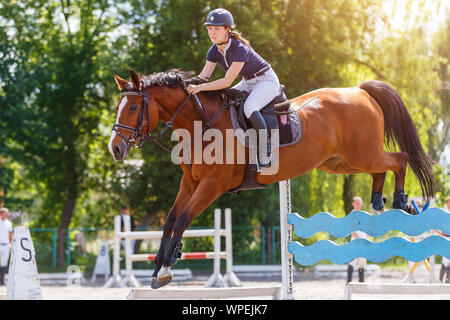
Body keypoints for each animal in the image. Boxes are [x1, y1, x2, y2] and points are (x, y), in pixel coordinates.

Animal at [108, 69, 436, 288]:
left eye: (134, 107)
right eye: (118, 107)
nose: (115, 148)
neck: (200, 124)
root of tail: (360, 91)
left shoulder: (213, 185)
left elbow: (184, 219)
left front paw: (167, 267)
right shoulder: (190, 183)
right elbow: (170, 220)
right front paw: (159, 267)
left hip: (361, 154)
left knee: (399, 160)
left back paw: (401, 201)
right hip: (342, 163)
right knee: (381, 168)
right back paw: (378, 201)